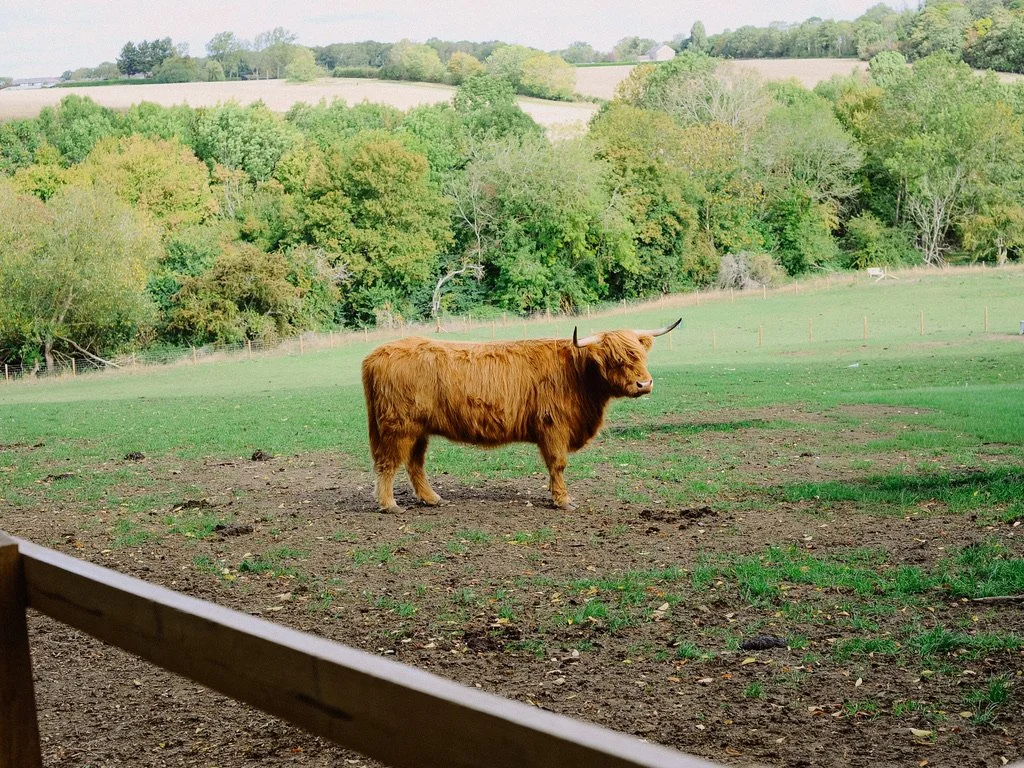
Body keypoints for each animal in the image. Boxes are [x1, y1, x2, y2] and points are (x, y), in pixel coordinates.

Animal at [361, 319, 681, 512]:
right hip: (398, 427)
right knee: (388, 464)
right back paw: (389, 504)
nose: (644, 384)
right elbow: (558, 464)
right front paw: (563, 500)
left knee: (415, 464)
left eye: (641, 355)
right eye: (616, 360)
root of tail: (376, 354)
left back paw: (432, 499)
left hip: (418, 430)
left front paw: (555, 494)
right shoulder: (554, 427)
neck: (578, 375)